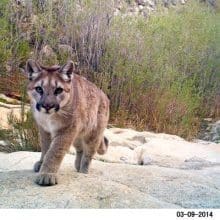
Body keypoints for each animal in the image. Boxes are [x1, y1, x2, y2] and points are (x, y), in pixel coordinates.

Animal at [25, 58, 109, 186]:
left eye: (58, 90)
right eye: (39, 89)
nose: (47, 106)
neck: (48, 118)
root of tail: (105, 95)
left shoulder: (66, 130)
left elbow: (54, 151)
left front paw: (47, 175)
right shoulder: (44, 129)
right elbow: (45, 147)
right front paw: (41, 163)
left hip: (93, 135)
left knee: (88, 153)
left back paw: (83, 170)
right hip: (77, 134)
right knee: (80, 149)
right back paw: (77, 166)